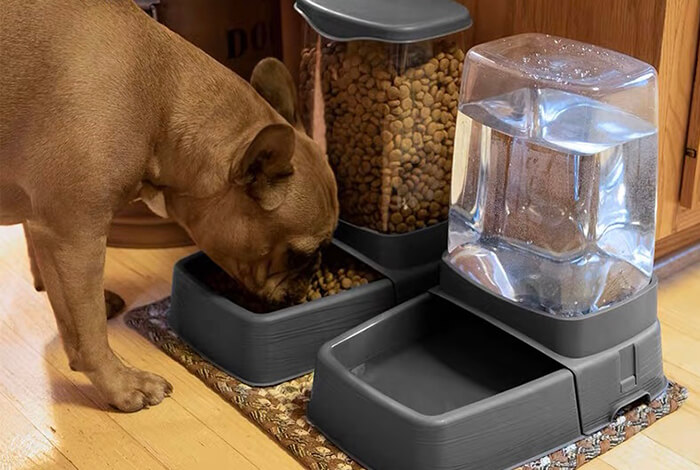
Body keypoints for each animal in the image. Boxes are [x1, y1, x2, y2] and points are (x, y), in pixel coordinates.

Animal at [0, 0, 340, 412]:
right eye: (297, 255)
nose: (306, 287)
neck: (161, 104)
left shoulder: (46, 222)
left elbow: (59, 284)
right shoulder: (75, 236)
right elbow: (89, 332)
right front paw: (121, 384)